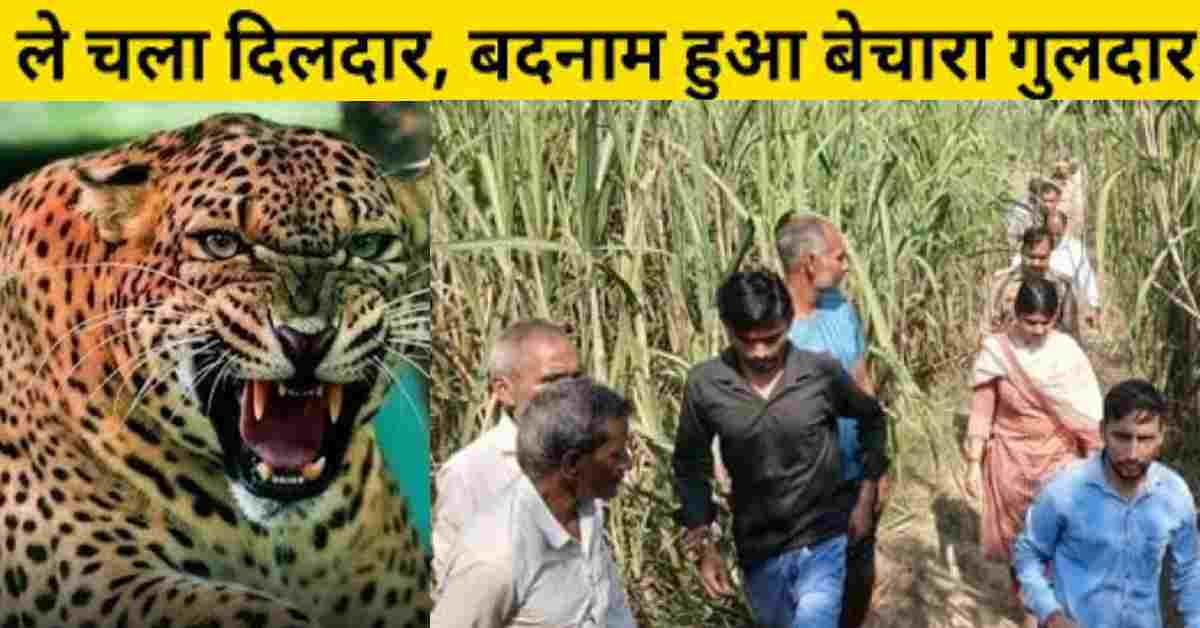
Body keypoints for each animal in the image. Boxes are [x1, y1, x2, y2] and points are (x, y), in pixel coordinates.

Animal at [0, 112, 431, 628]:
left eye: (367, 245)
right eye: (222, 243)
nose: (306, 337)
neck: (284, 543)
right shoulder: (90, 580)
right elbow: (238, 609)